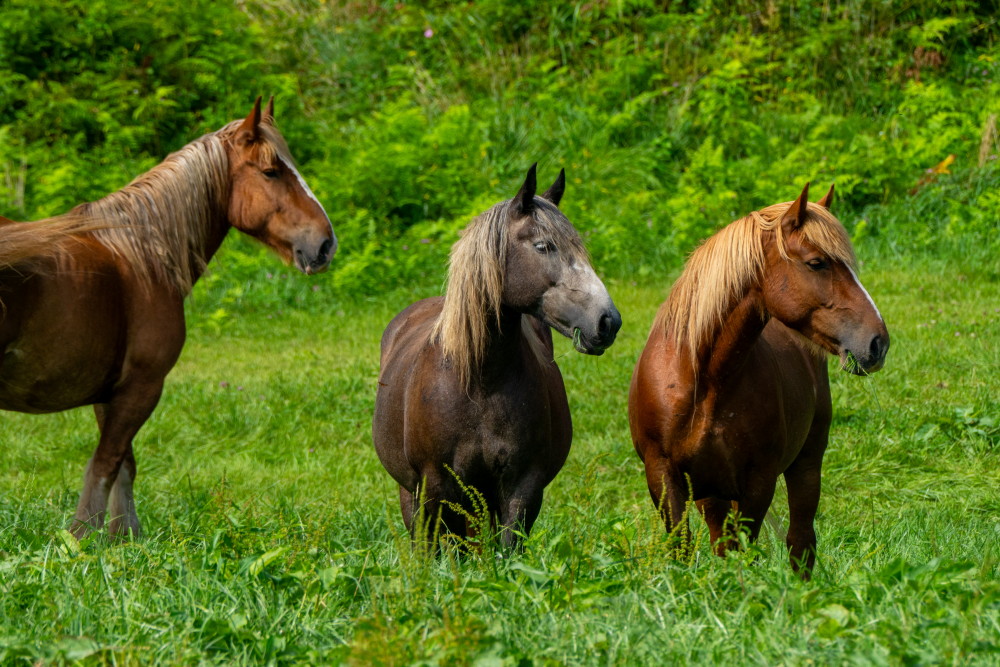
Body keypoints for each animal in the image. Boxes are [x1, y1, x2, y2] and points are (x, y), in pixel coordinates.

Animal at [0, 97, 336, 539]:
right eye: (271, 172)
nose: (326, 243)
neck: (141, 254)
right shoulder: (143, 386)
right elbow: (105, 465)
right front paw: (82, 539)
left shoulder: (113, 393)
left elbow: (123, 466)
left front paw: (125, 539)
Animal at [372, 164, 622, 549]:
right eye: (543, 246)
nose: (607, 321)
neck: (479, 382)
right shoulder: (435, 487)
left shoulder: (522, 487)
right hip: (413, 492)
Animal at [628, 183, 888, 577]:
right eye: (817, 262)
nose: (878, 342)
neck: (704, 381)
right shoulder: (663, 475)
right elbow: (684, 549)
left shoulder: (758, 481)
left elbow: (745, 550)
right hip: (711, 493)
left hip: (806, 462)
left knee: (801, 540)